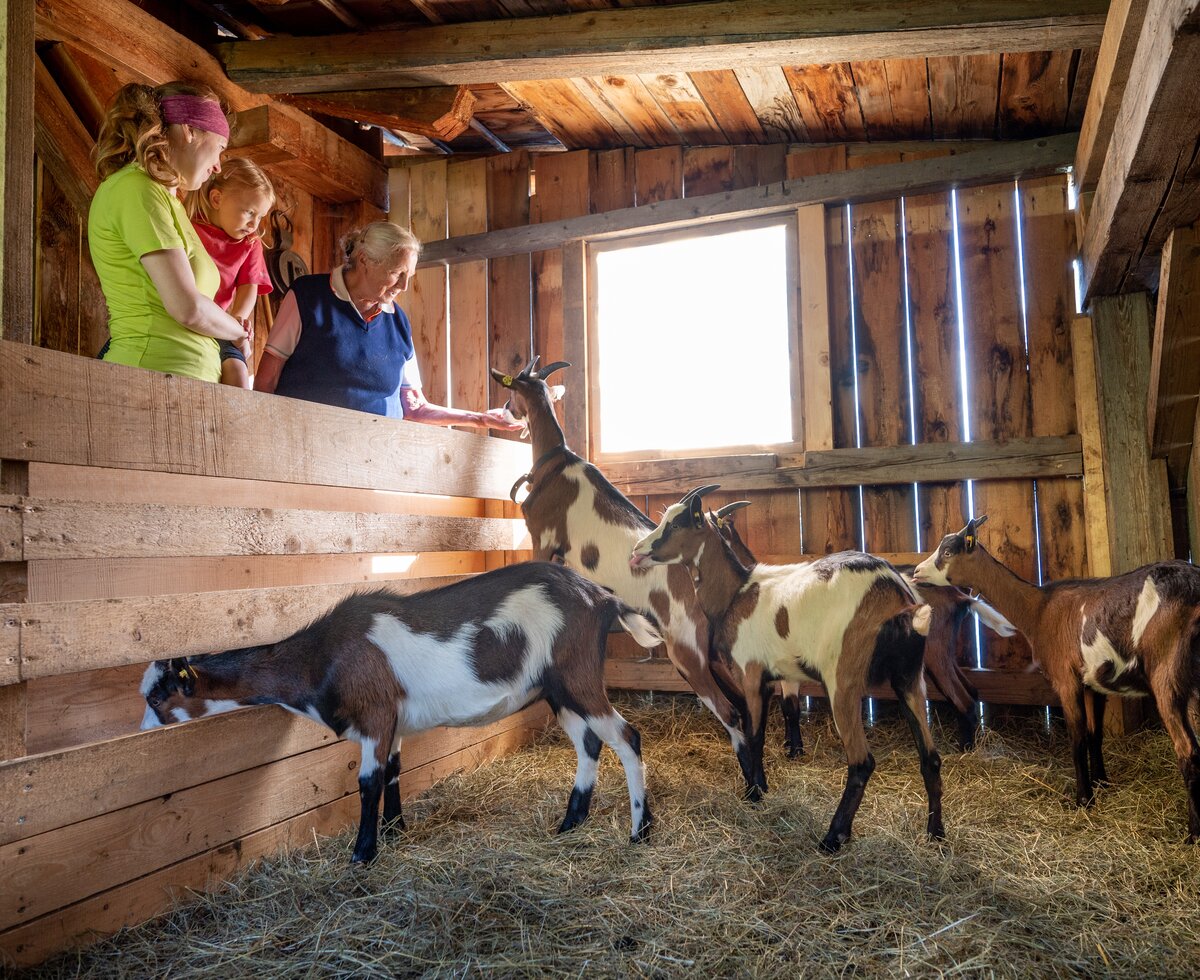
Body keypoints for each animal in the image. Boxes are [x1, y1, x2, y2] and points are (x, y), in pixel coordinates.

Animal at [145, 561, 667, 858]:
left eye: (155, 698)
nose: (145, 733)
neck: (322, 657)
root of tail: (601, 597)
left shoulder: (375, 714)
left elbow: (368, 781)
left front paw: (363, 852)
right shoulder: (394, 719)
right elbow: (394, 771)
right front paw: (395, 832)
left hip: (578, 677)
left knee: (627, 737)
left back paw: (640, 832)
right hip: (557, 690)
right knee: (589, 743)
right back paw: (570, 823)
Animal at [489, 359, 758, 796]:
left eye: (513, 392)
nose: (508, 412)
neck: (556, 463)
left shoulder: (543, 539)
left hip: (685, 652)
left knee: (730, 712)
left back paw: (751, 789)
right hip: (711, 654)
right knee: (743, 706)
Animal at [633, 484, 940, 854]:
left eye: (678, 523)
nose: (637, 552)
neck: (736, 594)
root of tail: (898, 597)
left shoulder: (751, 674)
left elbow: (754, 733)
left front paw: (755, 793)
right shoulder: (780, 677)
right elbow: (780, 715)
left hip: (843, 680)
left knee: (862, 761)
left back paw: (833, 838)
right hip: (910, 679)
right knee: (930, 756)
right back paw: (935, 833)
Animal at [912, 513, 1200, 839]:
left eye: (948, 552)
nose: (916, 571)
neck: (1040, 608)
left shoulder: (1066, 679)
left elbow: (1076, 737)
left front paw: (1083, 799)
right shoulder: (1093, 682)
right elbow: (1094, 734)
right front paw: (1101, 782)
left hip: (1167, 672)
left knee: (1187, 750)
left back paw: (1193, 833)